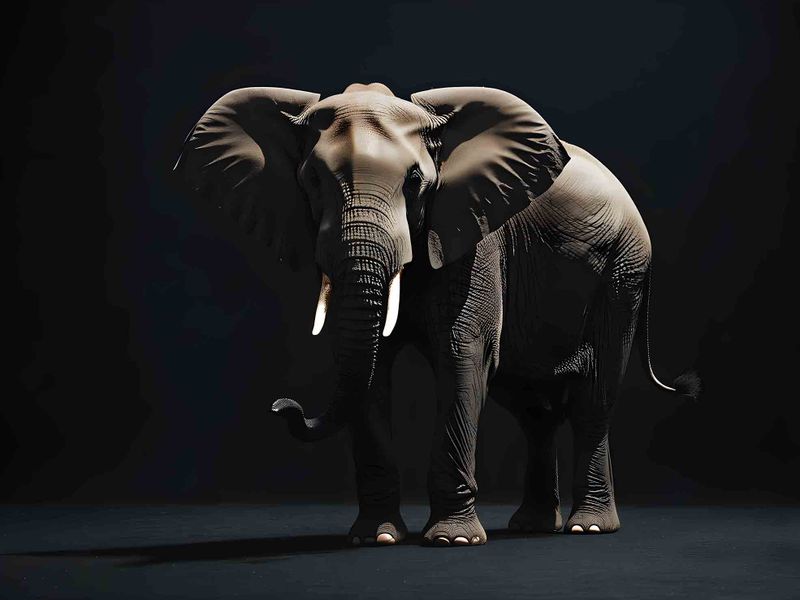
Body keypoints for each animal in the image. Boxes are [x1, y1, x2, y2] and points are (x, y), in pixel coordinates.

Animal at [174, 82, 699, 547]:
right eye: (313, 182)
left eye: (414, 182)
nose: (283, 406)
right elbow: (371, 370)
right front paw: (375, 538)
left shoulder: (473, 236)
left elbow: (463, 355)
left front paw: (452, 540)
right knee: (532, 409)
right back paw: (533, 526)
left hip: (622, 273)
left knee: (593, 396)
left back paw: (586, 528)